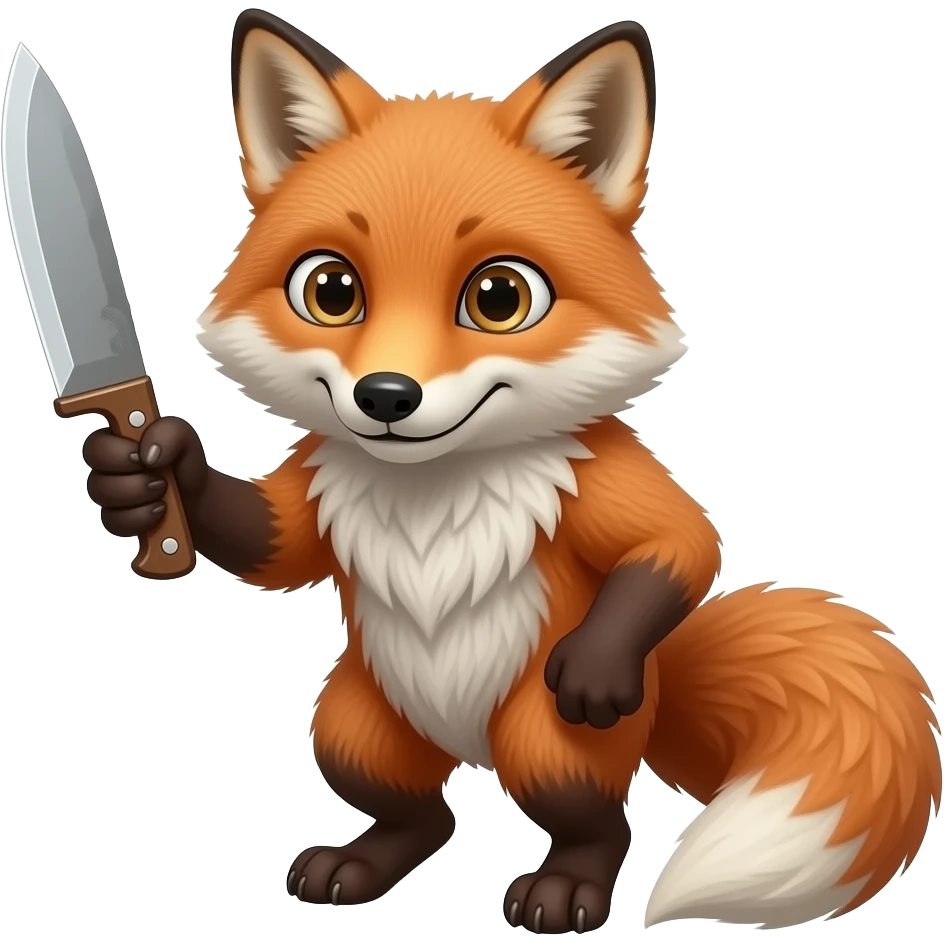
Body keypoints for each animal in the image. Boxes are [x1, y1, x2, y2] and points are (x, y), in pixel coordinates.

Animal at [78, 10, 941, 935]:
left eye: (499, 298)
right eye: (331, 290)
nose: (386, 395)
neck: (434, 484)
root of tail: (471, 751)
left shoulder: (602, 473)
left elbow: (680, 543)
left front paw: (596, 664)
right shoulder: (314, 481)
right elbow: (269, 547)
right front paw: (148, 477)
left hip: (545, 745)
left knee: (599, 826)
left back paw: (566, 889)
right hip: (351, 727)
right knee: (425, 816)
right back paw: (364, 863)